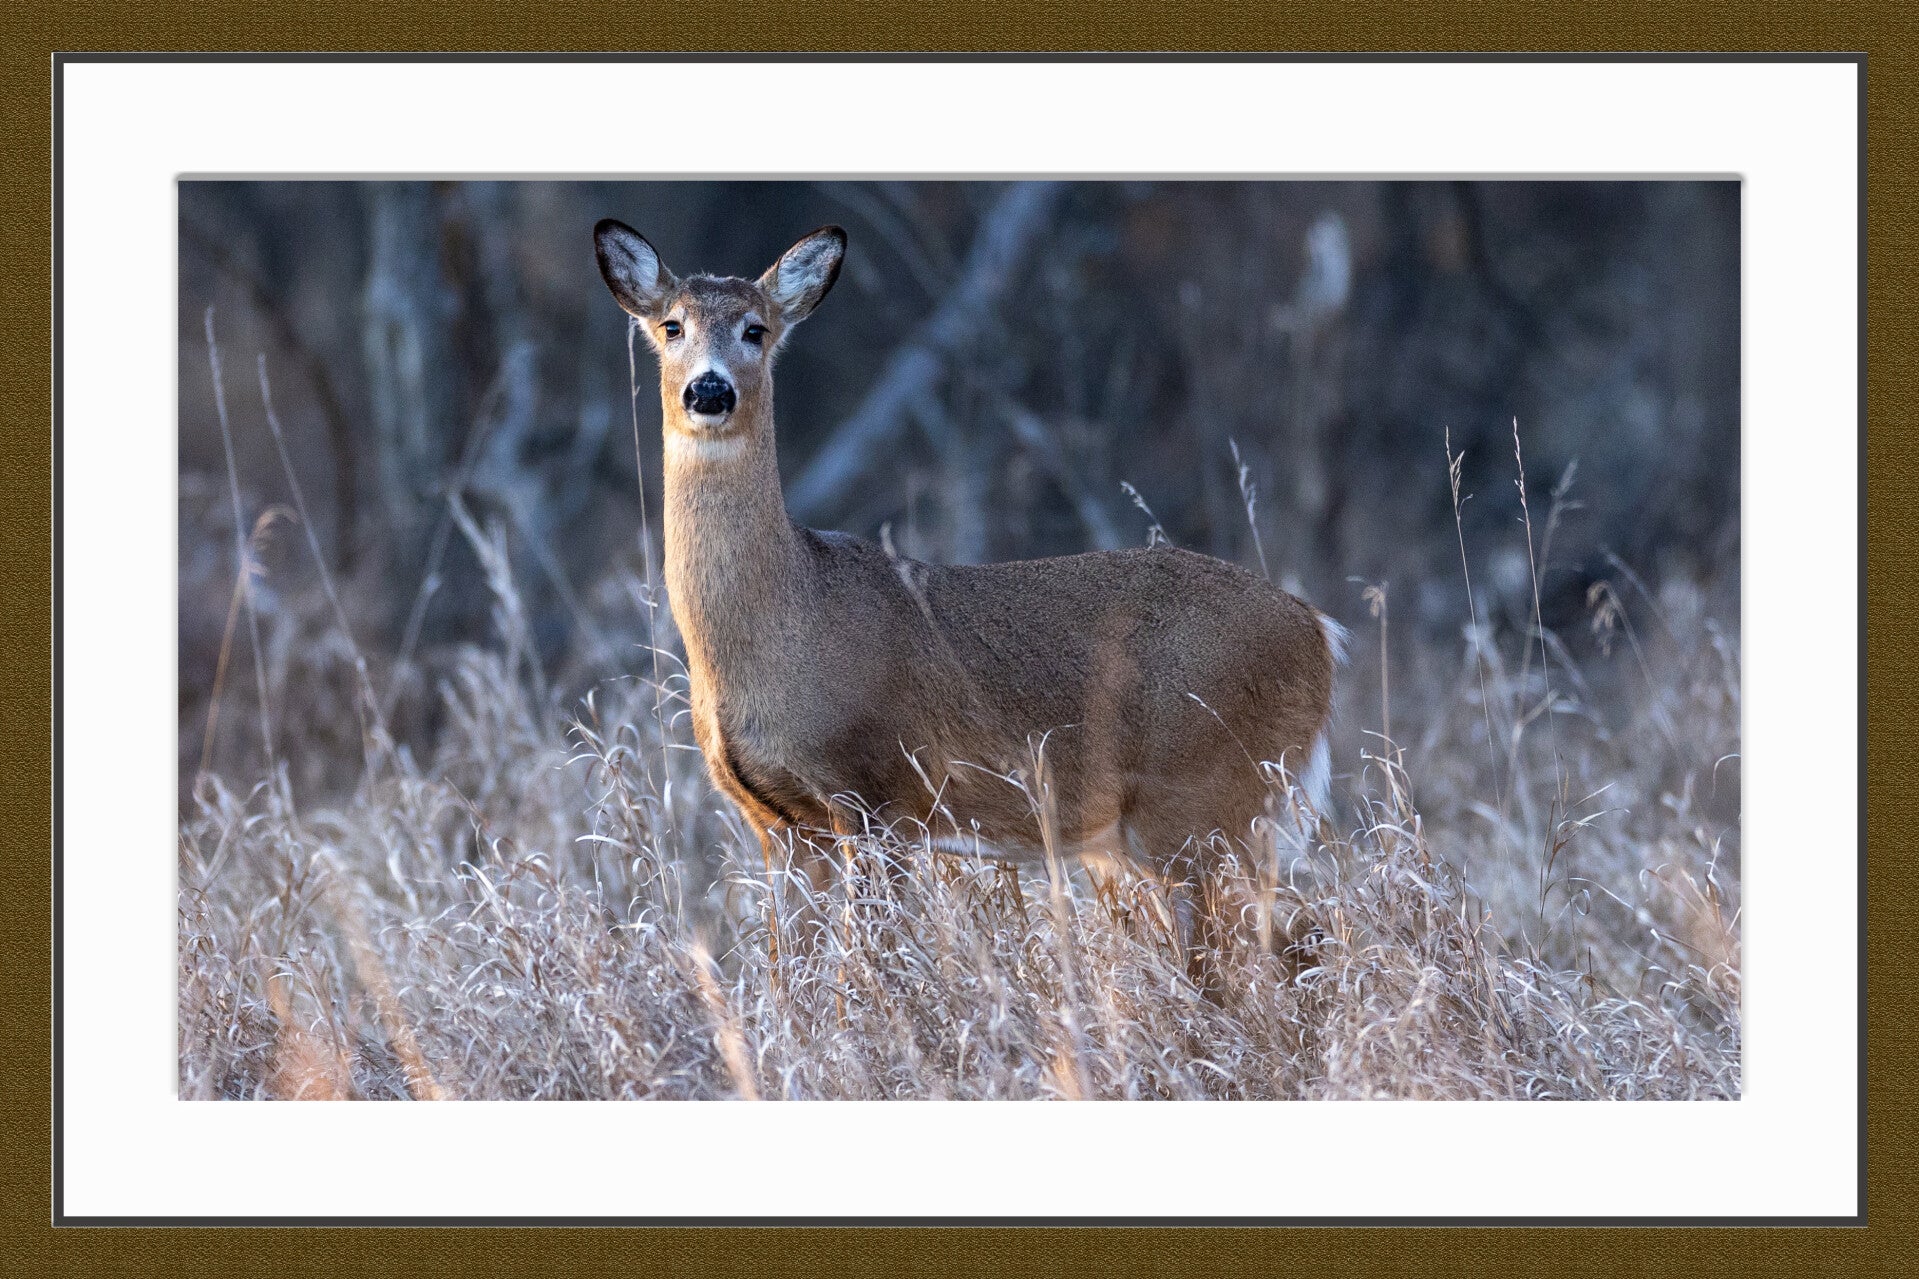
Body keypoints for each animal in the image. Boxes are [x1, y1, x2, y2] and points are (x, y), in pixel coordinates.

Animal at [593, 218, 1347, 989]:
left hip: (1204, 798)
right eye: (672, 325)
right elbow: (788, 972)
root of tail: (1317, 628)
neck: (784, 616)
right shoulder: (778, 822)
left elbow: (866, 971)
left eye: (756, 329)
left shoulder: (879, 794)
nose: (709, 390)